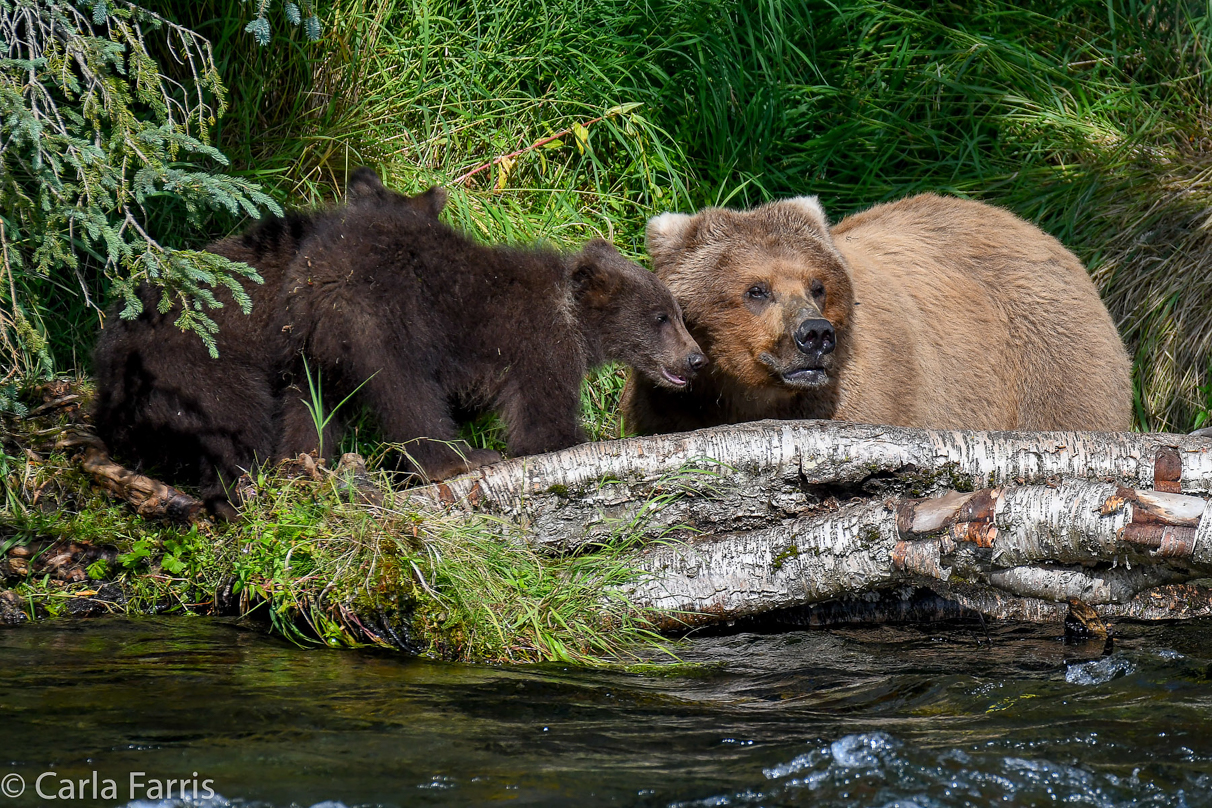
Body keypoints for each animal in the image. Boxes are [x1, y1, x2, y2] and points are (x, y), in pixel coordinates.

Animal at [625, 192, 1134, 436]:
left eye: (817, 285)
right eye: (757, 289)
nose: (815, 334)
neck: (749, 398)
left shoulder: (869, 393)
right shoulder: (671, 404)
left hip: (1048, 362)